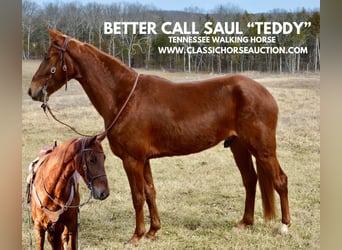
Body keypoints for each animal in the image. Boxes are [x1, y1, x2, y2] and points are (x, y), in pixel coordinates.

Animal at [28, 28, 292, 244]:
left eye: (47, 57)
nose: (32, 91)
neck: (124, 97)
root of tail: (264, 92)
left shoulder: (132, 160)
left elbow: (137, 196)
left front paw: (136, 235)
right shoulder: (144, 160)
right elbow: (150, 192)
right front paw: (153, 231)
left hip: (264, 149)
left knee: (280, 180)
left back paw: (284, 226)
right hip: (239, 147)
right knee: (250, 180)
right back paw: (245, 222)